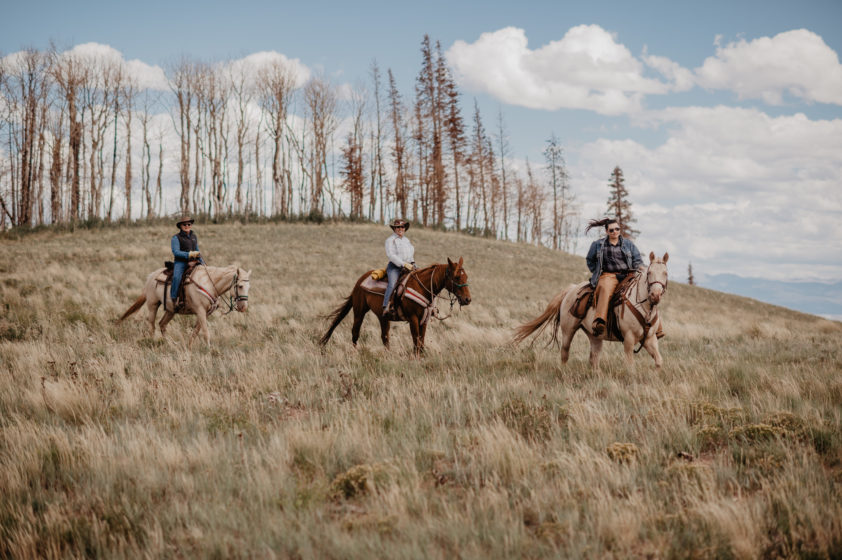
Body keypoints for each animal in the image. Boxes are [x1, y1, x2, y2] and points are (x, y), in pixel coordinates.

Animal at [118, 264, 251, 348]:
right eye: (240, 286)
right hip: (153, 305)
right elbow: (205, 332)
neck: (209, 284)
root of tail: (151, 276)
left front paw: (189, 346)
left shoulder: (205, 313)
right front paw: (209, 349)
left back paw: (172, 344)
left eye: (249, 287)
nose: (243, 307)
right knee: (152, 326)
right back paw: (152, 342)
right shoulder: (200, 311)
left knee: (162, 325)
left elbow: (196, 331)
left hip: (170, 310)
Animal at [318, 258, 470, 354]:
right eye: (457, 277)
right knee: (355, 332)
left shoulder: (424, 320)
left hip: (383, 317)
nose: (467, 299)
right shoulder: (413, 319)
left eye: (466, 277)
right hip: (359, 311)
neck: (422, 288)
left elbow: (421, 341)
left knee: (385, 337)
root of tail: (360, 280)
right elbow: (416, 340)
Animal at [512, 252, 668, 370]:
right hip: (568, 330)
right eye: (649, 273)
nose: (655, 296)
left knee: (594, 358)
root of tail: (571, 289)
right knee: (565, 353)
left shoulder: (650, 339)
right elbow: (630, 366)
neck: (645, 309)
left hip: (594, 335)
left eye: (665, 273)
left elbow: (659, 361)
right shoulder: (628, 339)